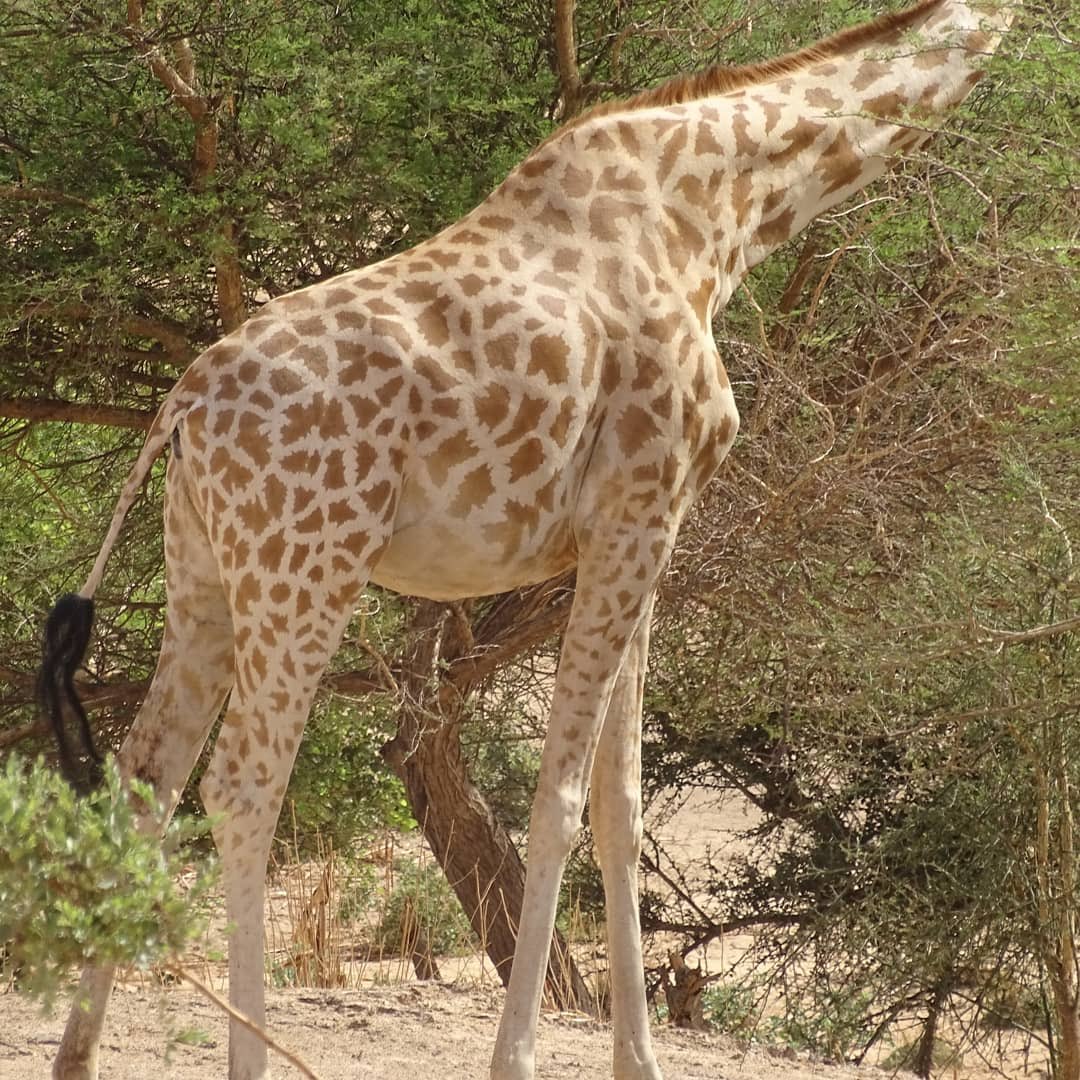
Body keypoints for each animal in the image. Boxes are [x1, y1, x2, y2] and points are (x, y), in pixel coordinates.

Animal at [39, 2, 1014, 1078]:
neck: (720, 214)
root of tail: (181, 404)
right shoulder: (634, 509)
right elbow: (558, 801)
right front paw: (520, 1057)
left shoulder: (647, 528)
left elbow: (622, 806)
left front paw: (642, 1060)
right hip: (307, 566)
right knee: (243, 785)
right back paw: (256, 1054)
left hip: (203, 570)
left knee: (146, 775)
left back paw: (78, 1055)